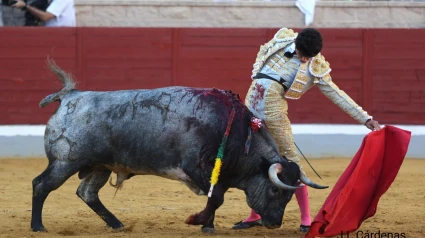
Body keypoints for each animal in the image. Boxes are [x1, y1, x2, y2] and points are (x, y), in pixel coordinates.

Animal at [30, 60, 328, 233]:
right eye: (276, 191)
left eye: (288, 195)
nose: (275, 223)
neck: (238, 134)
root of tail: (70, 96)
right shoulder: (195, 167)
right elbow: (216, 197)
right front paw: (198, 221)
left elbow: (215, 197)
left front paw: (207, 226)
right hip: (66, 161)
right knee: (41, 185)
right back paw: (38, 226)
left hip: (99, 166)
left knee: (87, 193)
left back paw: (117, 224)